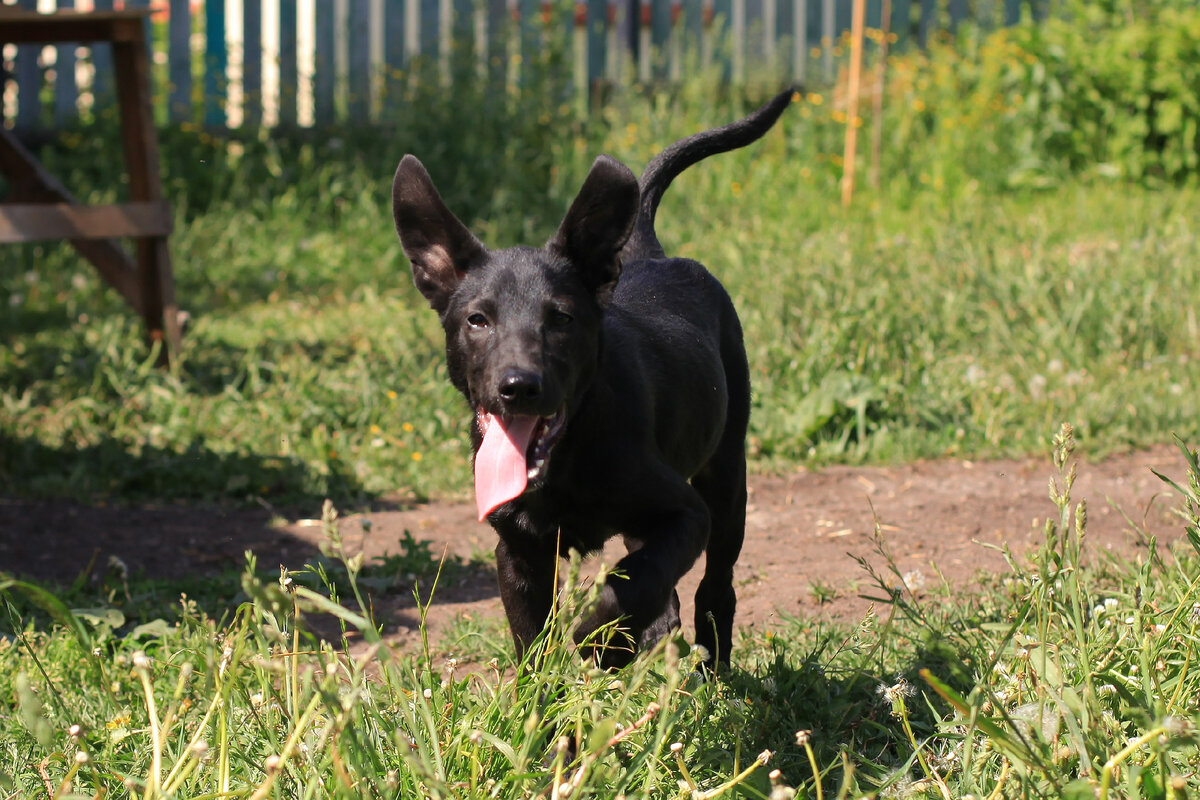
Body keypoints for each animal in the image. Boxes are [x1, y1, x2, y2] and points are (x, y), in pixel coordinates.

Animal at [388, 89, 792, 671]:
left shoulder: (685, 515)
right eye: (477, 320)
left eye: (561, 318)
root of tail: (651, 253)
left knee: (715, 584)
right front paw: (549, 692)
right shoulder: (518, 551)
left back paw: (707, 660)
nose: (518, 386)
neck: (566, 458)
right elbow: (533, 644)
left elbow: (632, 583)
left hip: (725, 475)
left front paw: (599, 639)